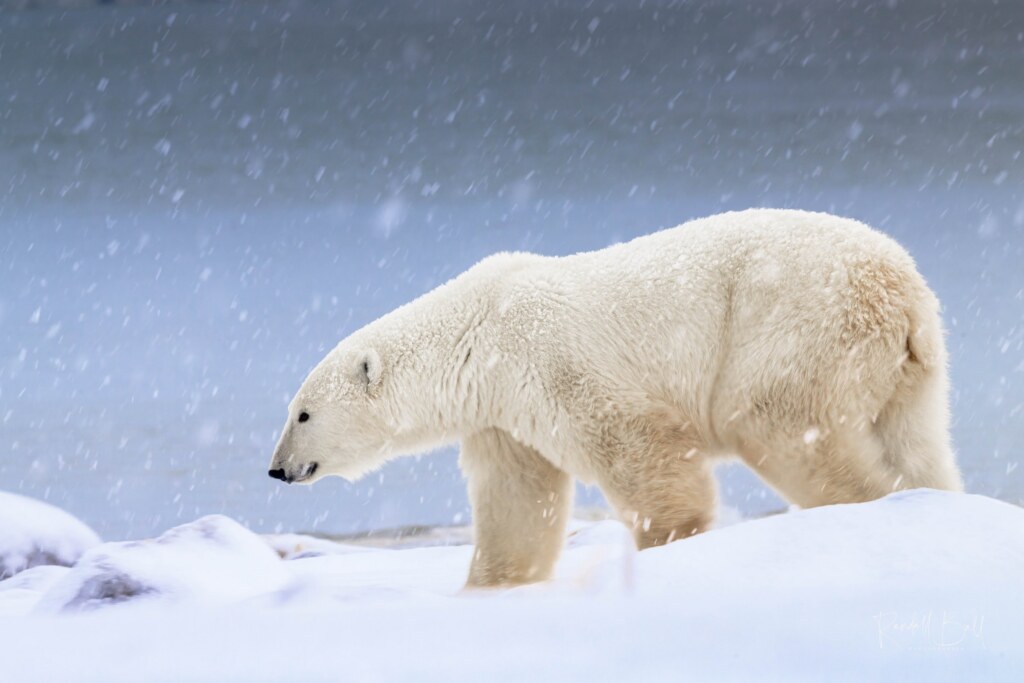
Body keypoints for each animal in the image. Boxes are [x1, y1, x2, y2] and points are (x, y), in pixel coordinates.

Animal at [268, 208, 963, 587]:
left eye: (302, 412)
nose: (277, 469)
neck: (478, 330)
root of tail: (901, 291)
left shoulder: (551, 360)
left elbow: (638, 447)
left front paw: (667, 543)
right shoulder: (502, 414)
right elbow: (517, 502)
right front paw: (489, 587)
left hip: (792, 325)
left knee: (777, 424)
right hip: (907, 371)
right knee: (917, 441)